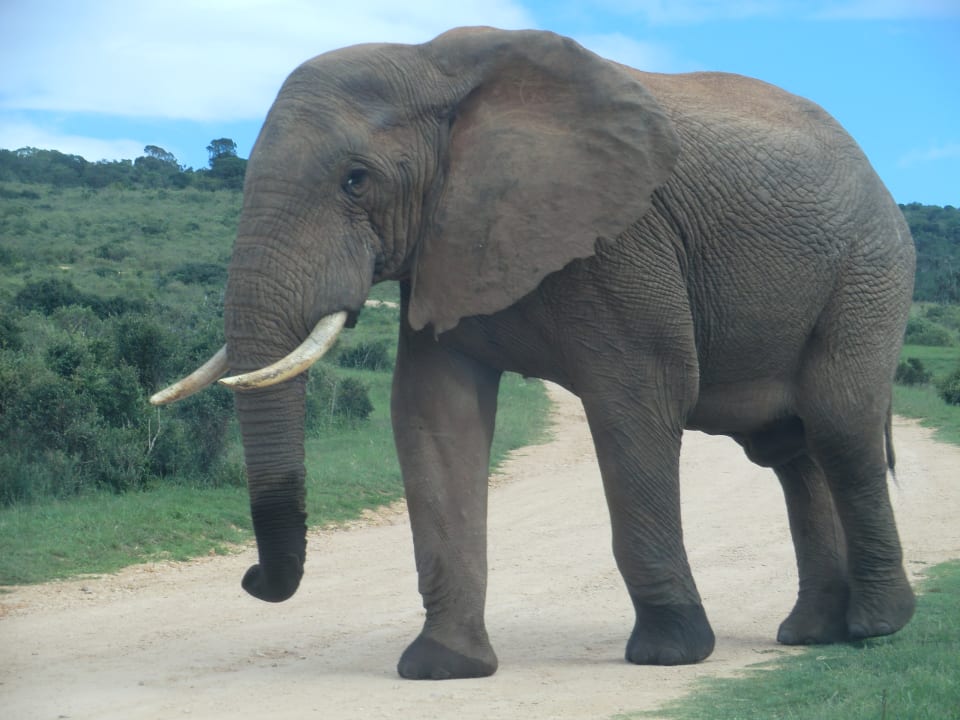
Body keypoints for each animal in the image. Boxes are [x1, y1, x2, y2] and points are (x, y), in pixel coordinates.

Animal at [152, 27, 917, 680]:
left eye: (355, 180)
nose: (253, 579)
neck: (433, 65)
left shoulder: (625, 239)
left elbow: (639, 401)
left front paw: (669, 654)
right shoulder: (445, 244)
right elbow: (435, 419)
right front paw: (442, 668)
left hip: (870, 269)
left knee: (840, 426)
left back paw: (877, 628)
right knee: (791, 451)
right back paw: (812, 633)